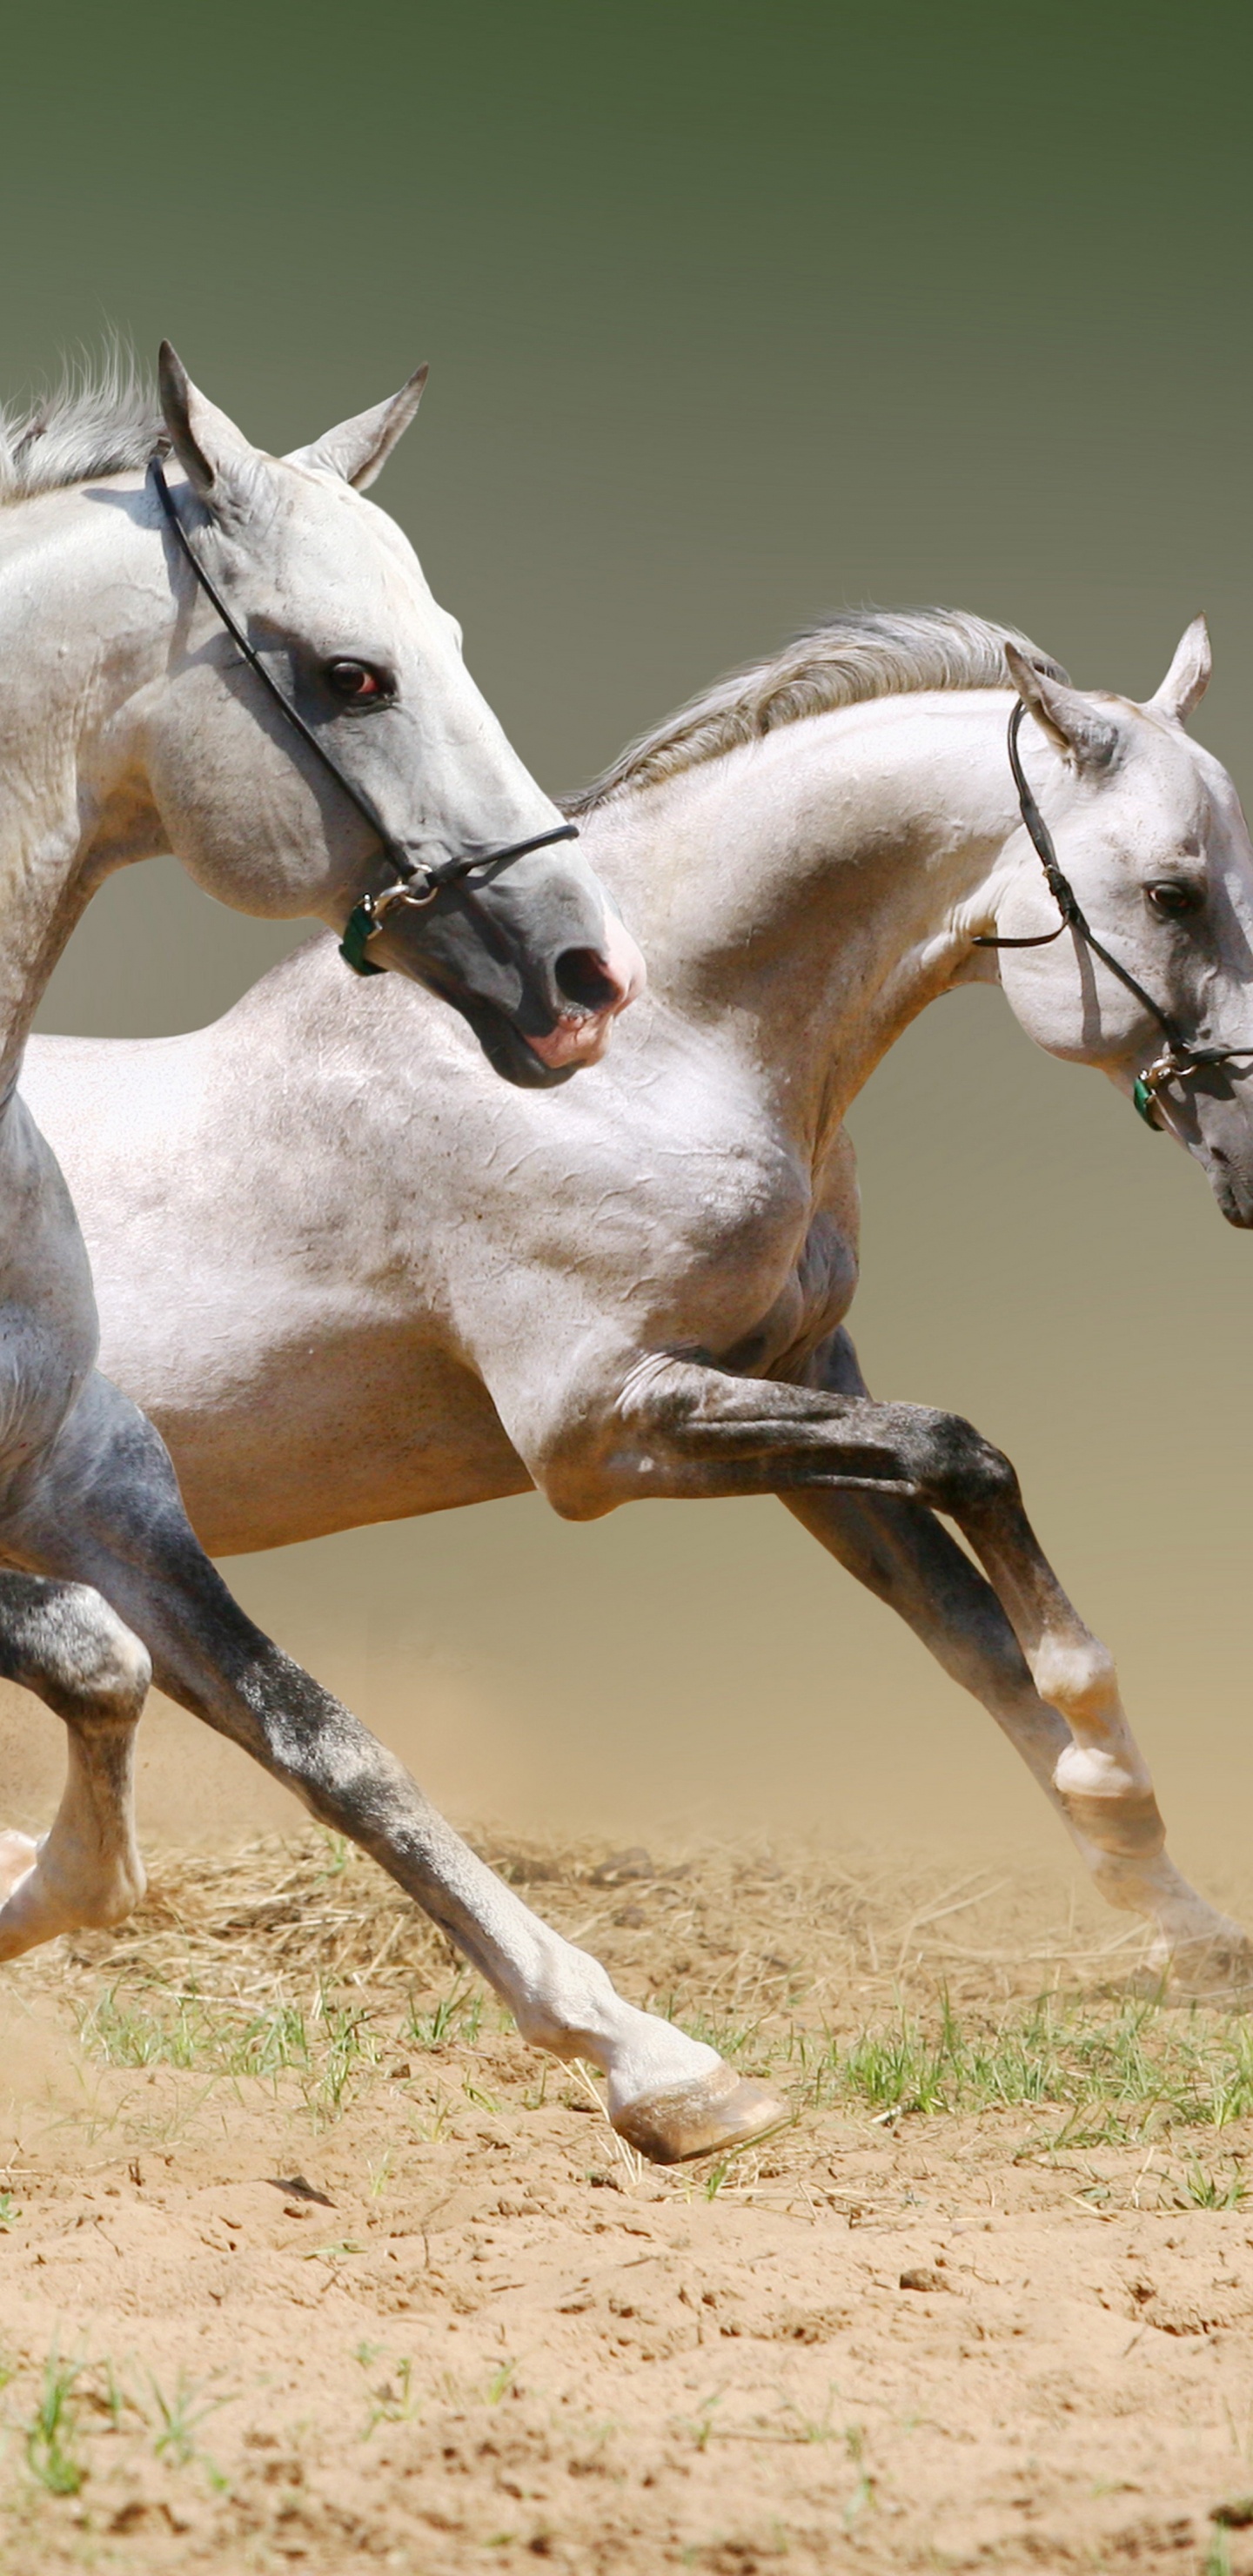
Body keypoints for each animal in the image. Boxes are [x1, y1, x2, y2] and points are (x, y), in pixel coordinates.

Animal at [24, 603, 1253, 2165]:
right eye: (1171, 894)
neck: (653, 1059)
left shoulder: (792, 1384)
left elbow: (972, 1628)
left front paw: (1180, 1918)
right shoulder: (601, 1431)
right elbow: (966, 1456)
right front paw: (1110, 1767)